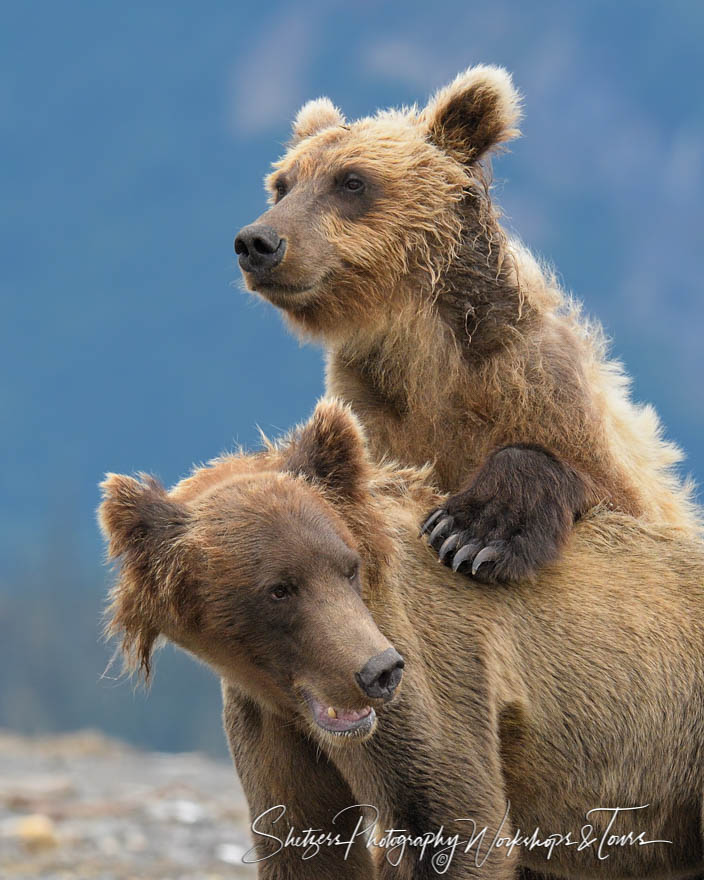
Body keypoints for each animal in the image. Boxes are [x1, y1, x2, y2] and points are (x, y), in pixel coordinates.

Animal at [97, 402, 704, 880]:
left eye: (347, 567)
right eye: (279, 589)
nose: (378, 670)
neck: (289, 701)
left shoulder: (441, 679)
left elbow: (449, 824)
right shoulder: (272, 727)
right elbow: (304, 843)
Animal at [232, 67, 700, 584]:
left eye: (351, 181)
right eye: (283, 184)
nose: (258, 242)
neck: (419, 344)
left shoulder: (540, 389)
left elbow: (608, 493)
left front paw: (470, 533)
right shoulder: (372, 407)